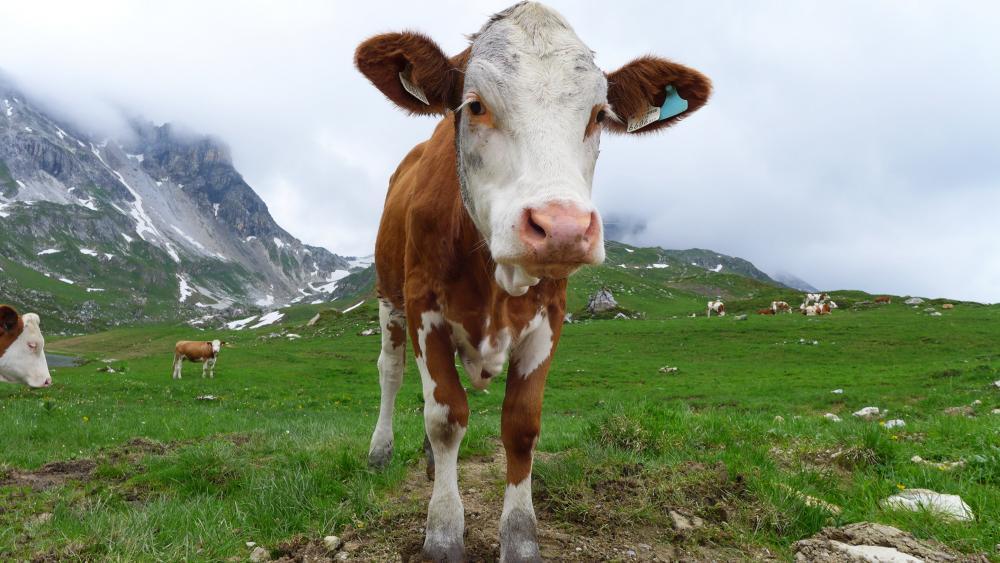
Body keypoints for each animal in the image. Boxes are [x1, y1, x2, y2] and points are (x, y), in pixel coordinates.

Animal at [354, 3, 711, 560]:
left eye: (599, 115)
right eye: (475, 105)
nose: (562, 228)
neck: (497, 280)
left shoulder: (550, 318)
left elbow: (520, 426)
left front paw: (520, 537)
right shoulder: (422, 307)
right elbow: (445, 416)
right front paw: (443, 531)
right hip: (388, 299)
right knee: (391, 373)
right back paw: (381, 451)